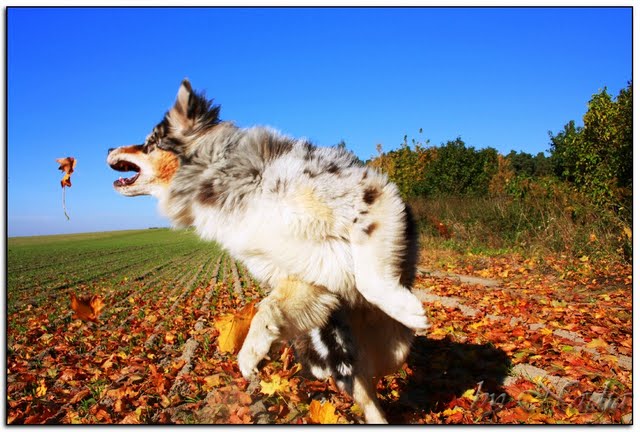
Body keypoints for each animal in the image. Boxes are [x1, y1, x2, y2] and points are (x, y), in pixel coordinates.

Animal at [107, 80, 428, 422]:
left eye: (148, 144)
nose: (107, 148)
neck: (221, 175)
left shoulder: (370, 195)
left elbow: (369, 280)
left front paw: (405, 307)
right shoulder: (305, 277)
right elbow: (265, 311)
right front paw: (250, 356)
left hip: (393, 348)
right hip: (345, 357)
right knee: (366, 391)